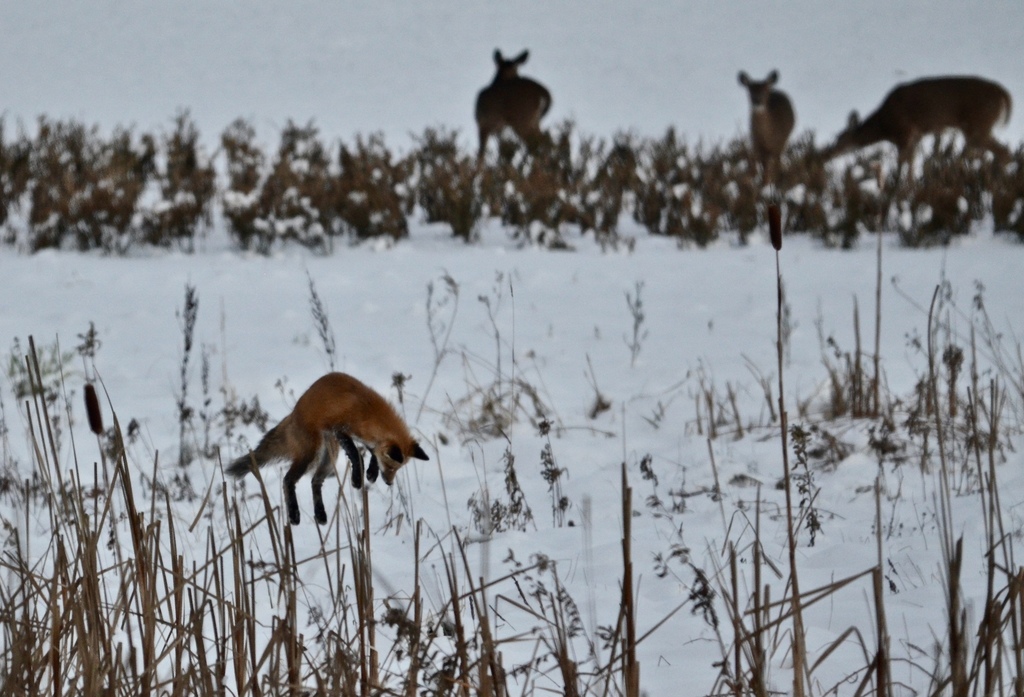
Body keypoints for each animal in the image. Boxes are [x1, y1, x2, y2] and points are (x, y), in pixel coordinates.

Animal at [225, 372, 429, 525]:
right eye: (392, 467)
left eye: (397, 469)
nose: (389, 483)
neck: (368, 413)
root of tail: (293, 414)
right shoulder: (339, 428)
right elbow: (356, 453)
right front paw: (357, 478)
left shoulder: (362, 438)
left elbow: (372, 452)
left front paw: (371, 473)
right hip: (310, 454)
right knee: (288, 479)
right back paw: (294, 514)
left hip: (328, 459)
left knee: (315, 481)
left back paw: (320, 514)